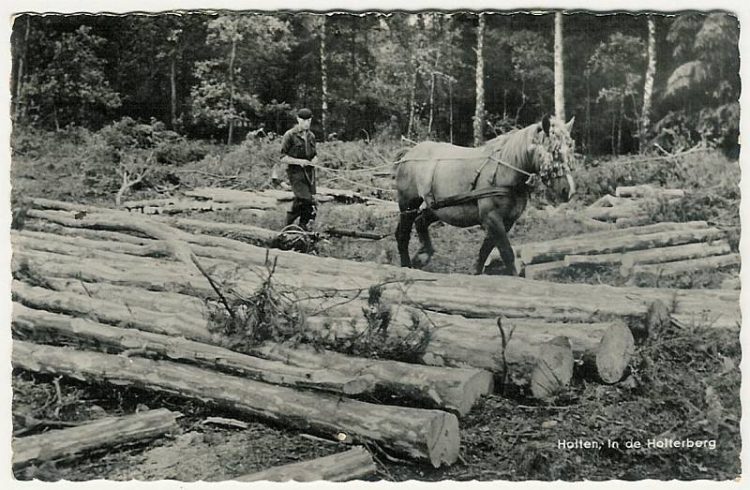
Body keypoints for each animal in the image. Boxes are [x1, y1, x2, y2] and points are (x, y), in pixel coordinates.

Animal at [396, 116, 580, 276]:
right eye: (554, 151)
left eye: (570, 148)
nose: (568, 190)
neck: (506, 171)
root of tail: (409, 153)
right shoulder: (492, 218)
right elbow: (506, 253)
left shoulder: (506, 221)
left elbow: (485, 251)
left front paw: (477, 274)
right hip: (408, 204)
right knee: (402, 234)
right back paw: (406, 266)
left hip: (439, 207)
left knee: (421, 221)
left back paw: (423, 255)